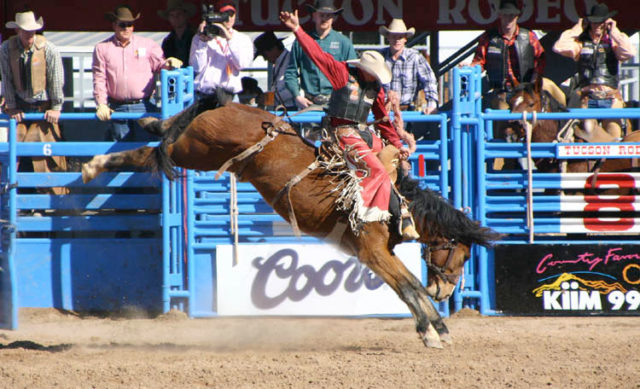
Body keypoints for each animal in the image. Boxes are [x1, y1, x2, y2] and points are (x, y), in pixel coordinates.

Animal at [81, 97, 500, 348]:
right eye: (462, 255)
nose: (446, 291)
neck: (396, 199)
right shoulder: (372, 252)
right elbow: (409, 286)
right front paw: (432, 331)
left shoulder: (376, 254)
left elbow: (409, 285)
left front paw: (438, 328)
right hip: (195, 150)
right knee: (160, 149)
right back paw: (102, 160)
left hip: (202, 150)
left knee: (178, 124)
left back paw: (145, 126)